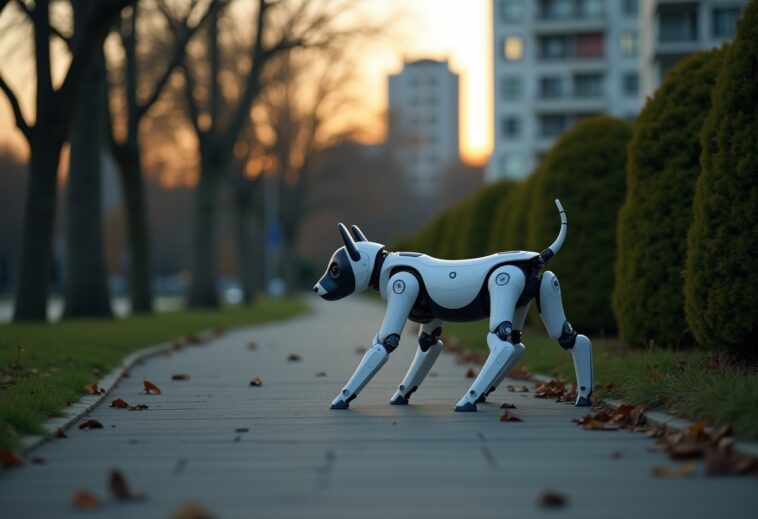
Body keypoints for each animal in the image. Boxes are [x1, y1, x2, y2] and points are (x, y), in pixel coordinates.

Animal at [314, 201, 592, 412]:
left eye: (335, 269)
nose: (317, 288)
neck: (383, 264)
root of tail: (538, 257)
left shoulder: (401, 286)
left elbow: (385, 342)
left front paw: (342, 398)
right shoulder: (431, 320)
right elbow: (429, 343)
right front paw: (402, 394)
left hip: (503, 282)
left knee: (502, 341)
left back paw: (469, 400)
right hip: (536, 292)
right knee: (559, 338)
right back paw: (583, 397)